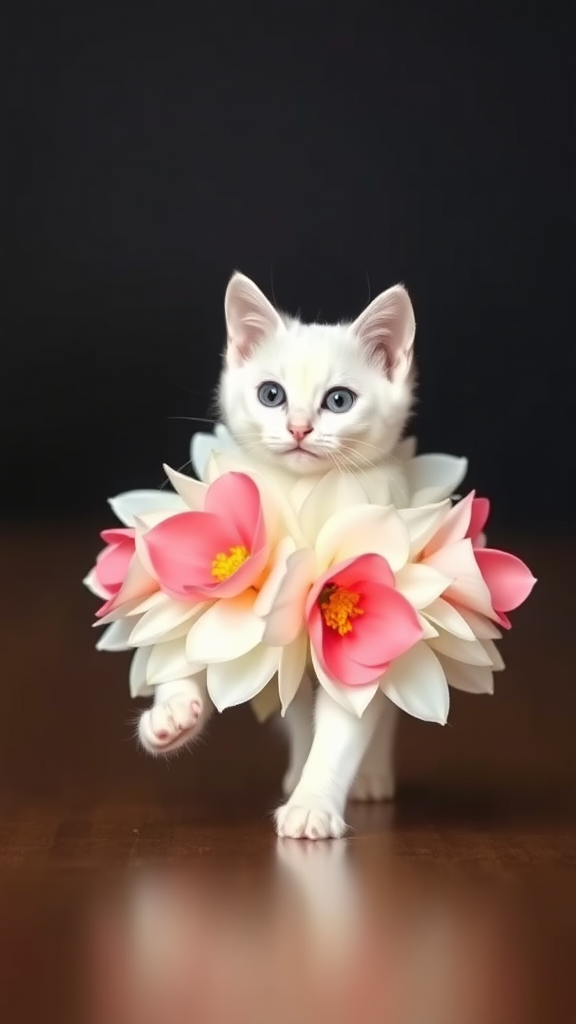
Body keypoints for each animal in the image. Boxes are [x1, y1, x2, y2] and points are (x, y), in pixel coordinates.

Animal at [141, 274, 414, 839]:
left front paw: (314, 803)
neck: (300, 495)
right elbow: (192, 636)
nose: (299, 428)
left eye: (338, 400)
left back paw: (370, 777)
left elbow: (347, 723)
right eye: (272, 395)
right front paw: (172, 712)